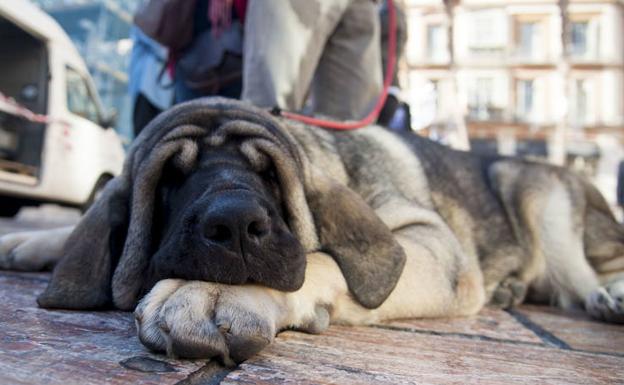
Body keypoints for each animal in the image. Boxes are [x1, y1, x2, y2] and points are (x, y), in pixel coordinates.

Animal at [1, 97, 624, 362]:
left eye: (267, 173)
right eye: (172, 177)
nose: (234, 221)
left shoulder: (433, 243)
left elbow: (323, 258)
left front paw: (213, 292)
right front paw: (27, 240)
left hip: (537, 192)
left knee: (580, 278)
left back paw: (609, 296)